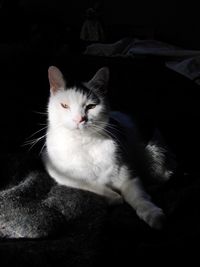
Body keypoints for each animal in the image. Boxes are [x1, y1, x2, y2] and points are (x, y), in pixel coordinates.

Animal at [42, 65, 175, 230]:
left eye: (91, 106)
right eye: (65, 106)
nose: (79, 119)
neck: (84, 143)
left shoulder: (128, 175)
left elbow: (140, 197)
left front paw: (153, 214)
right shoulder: (60, 173)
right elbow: (90, 185)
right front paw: (114, 197)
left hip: (156, 157)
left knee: (164, 176)